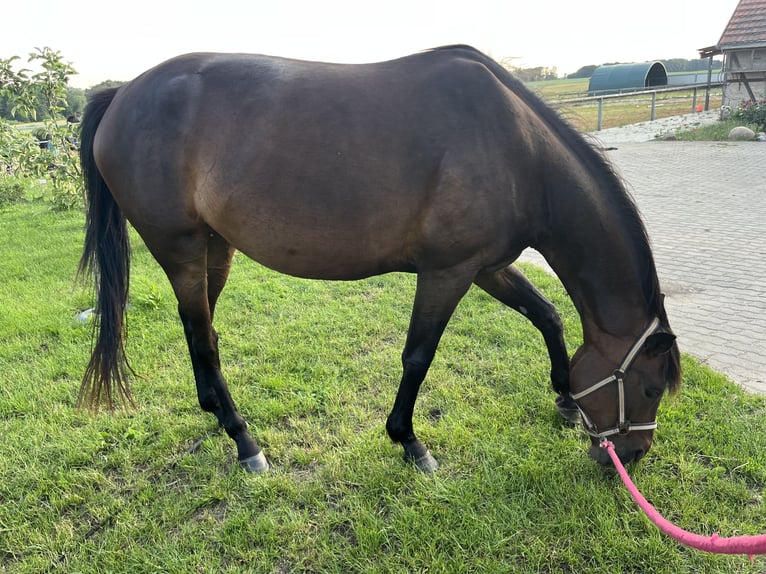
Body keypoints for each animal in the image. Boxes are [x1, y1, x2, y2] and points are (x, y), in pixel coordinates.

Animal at [77, 45, 681, 473]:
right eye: (651, 389)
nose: (629, 458)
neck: (518, 150)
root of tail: (122, 93)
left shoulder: (486, 267)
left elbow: (547, 315)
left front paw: (564, 398)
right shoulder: (447, 272)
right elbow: (418, 356)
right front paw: (409, 442)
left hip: (213, 248)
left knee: (204, 336)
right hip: (180, 248)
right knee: (201, 337)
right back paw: (245, 440)